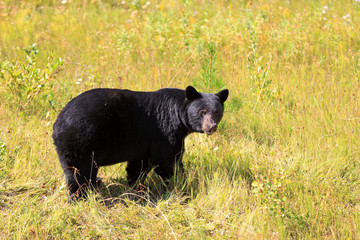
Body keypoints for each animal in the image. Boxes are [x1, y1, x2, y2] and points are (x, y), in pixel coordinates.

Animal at [52, 86, 229, 199]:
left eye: (216, 111)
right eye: (202, 112)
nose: (211, 126)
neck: (177, 115)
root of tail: (58, 123)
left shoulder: (144, 141)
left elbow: (139, 164)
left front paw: (136, 186)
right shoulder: (164, 131)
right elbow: (166, 159)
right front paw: (179, 183)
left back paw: (96, 184)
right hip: (84, 139)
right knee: (80, 172)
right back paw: (79, 196)